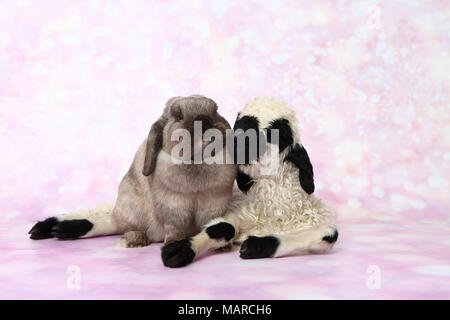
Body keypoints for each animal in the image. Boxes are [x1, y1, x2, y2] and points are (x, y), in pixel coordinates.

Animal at [29, 95, 237, 248]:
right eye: (177, 115)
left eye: (216, 110)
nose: (205, 123)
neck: (198, 162)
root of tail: (115, 216)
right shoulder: (172, 207)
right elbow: (175, 228)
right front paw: (174, 243)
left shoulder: (214, 206)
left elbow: (211, 223)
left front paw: (223, 245)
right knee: (126, 229)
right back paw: (134, 240)